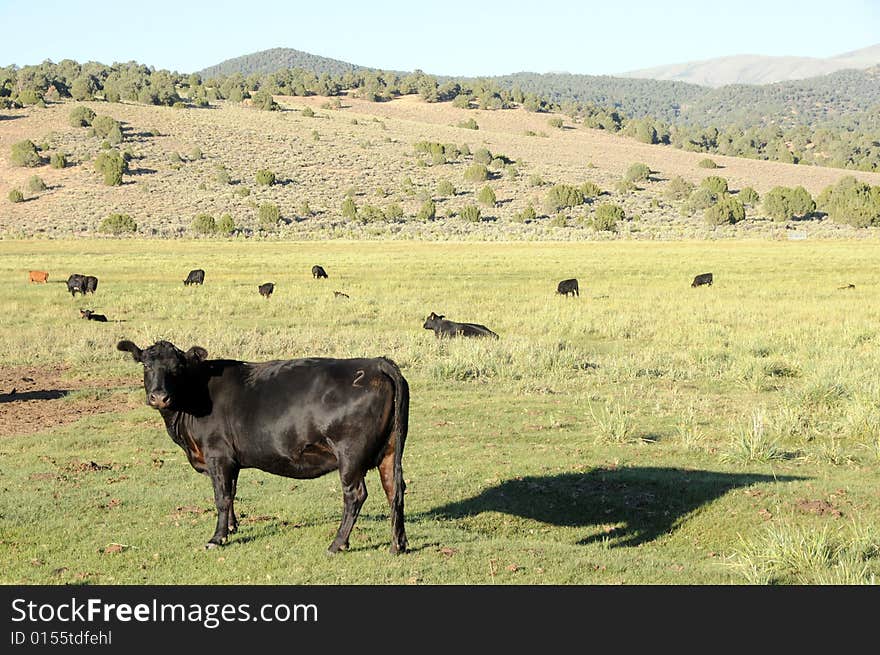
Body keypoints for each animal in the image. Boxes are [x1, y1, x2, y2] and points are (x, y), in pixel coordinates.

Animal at [114, 340, 412, 556]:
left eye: (177, 368)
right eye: (146, 366)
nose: (159, 397)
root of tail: (376, 363)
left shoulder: (217, 455)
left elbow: (222, 497)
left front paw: (217, 537)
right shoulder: (231, 461)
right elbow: (232, 493)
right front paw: (232, 527)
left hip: (350, 455)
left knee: (356, 495)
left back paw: (337, 544)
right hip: (390, 450)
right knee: (394, 489)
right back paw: (398, 545)